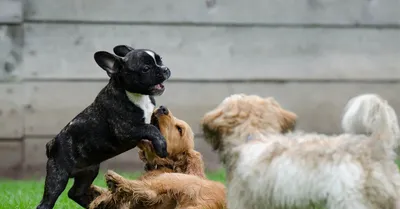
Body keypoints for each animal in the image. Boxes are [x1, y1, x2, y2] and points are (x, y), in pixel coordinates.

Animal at [34, 45, 170, 208]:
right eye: (146, 68)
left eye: (160, 60)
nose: (165, 69)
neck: (136, 96)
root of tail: (51, 143)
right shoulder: (126, 130)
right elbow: (151, 129)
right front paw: (162, 146)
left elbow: (155, 124)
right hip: (58, 176)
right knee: (47, 200)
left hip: (89, 171)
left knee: (75, 192)